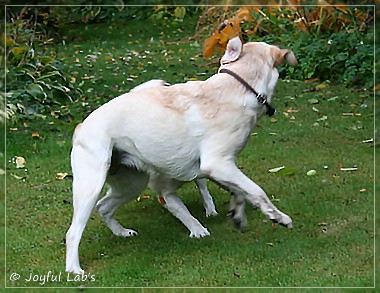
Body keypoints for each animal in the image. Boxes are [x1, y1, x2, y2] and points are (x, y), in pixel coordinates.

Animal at [64, 37, 296, 274]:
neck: (238, 88)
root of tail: (81, 127)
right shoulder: (217, 163)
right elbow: (257, 191)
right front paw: (278, 217)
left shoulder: (225, 167)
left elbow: (240, 192)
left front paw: (238, 215)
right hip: (90, 186)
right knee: (73, 232)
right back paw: (74, 269)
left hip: (132, 183)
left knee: (104, 207)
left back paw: (121, 232)